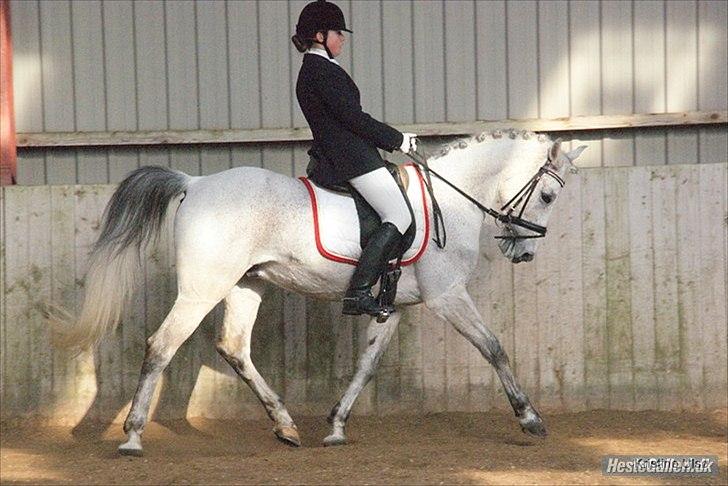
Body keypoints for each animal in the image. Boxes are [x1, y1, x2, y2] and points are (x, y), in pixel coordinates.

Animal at [52, 129, 586, 456]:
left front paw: (335, 425)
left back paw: (286, 425)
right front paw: (530, 419)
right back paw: (132, 438)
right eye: (547, 195)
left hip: (246, 284)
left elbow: (366, 365)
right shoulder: (447, 296)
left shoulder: (396, 307)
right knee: (162, 346)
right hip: (204, 287)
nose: (523, 252)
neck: (451, 201)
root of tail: (195, 181)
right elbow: (494, 348)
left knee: (234, 347)